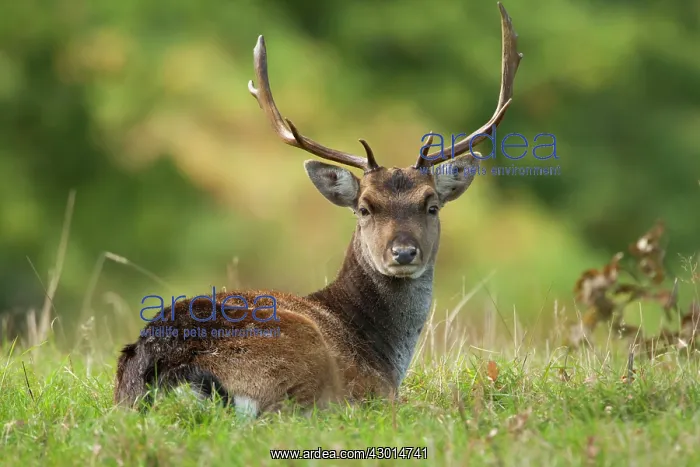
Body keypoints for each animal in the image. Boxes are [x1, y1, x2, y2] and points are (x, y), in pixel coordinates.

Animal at [114, 2, 522, 417]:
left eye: (432, 205)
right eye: (364, 208)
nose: (404, 252)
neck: (383, 352)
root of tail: (169, 370)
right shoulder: (377, 390)